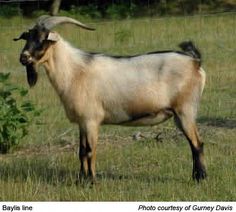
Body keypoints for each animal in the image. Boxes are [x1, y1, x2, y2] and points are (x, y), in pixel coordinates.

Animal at [14, 15, 206, 183]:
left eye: (43, 39)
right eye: (27, 37)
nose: (23, 57)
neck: (75, 72)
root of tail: (194, 61)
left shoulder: (91, 120)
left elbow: (90, 151)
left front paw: (91, 181)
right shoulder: (82, 122)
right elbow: (81, 151)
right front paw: (80, 180)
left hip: (186, 110)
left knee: (197, 143)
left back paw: (200, 178)